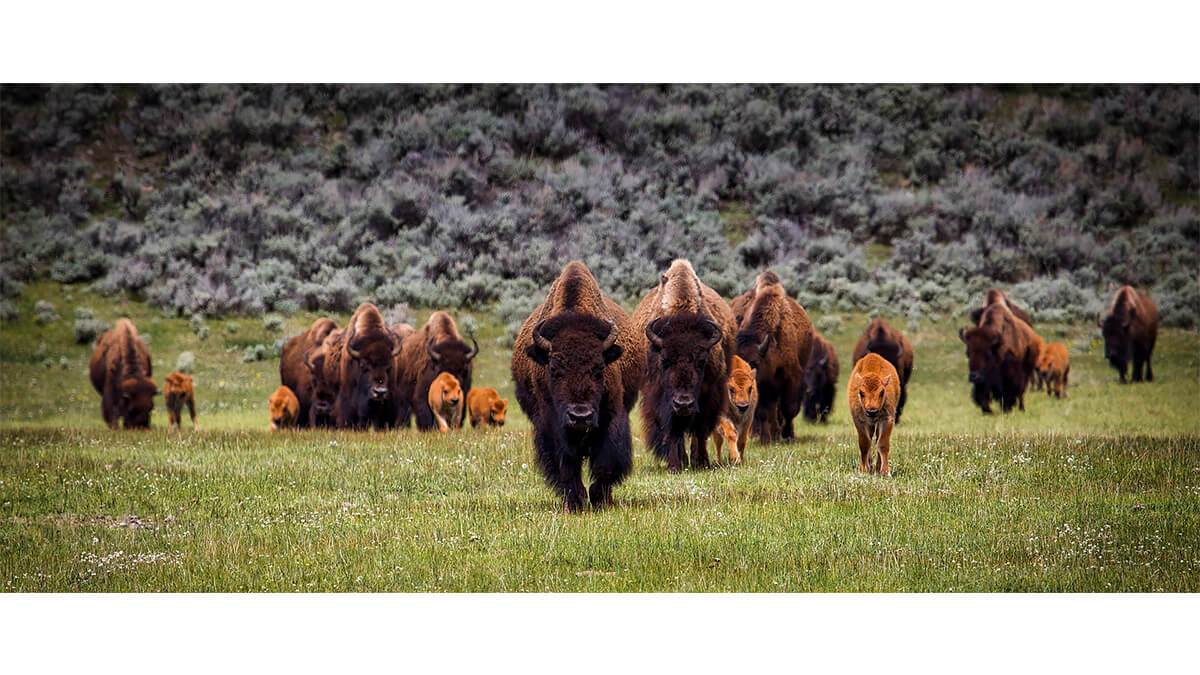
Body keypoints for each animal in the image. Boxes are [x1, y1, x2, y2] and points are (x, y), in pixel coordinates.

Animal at [513, 258, 648, 509]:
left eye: (599, 368)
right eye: (554, 369)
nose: (580, 416)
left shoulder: (611, 416)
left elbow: (606, 463)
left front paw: (599, 497)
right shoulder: (552, 425)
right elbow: (566, 465)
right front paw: (575, 501)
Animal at [633, 254, 734, 470]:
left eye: (702, 361)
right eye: (664, 360)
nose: (684, 404)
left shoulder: (709, 394)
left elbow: (700, 429)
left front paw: (702, 461)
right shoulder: (660, 397)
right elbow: (672, 431)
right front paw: (674, 465)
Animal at [734, 267, 811, 441]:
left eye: (754, 362)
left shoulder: (792, 378)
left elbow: (789, 409)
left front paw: (788, 435)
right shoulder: (763, 388)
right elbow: (763, 413)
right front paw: (765, 439)